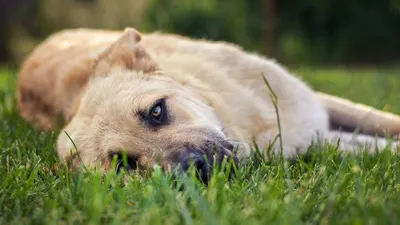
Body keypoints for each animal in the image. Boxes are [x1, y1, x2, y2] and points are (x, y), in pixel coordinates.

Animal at [16, 27, 400, 174]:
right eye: (126, 164)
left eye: (157, 111)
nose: (194, 168)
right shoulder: (310, 140)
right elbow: (372, 146)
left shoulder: (314, 108)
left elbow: (381, 123)